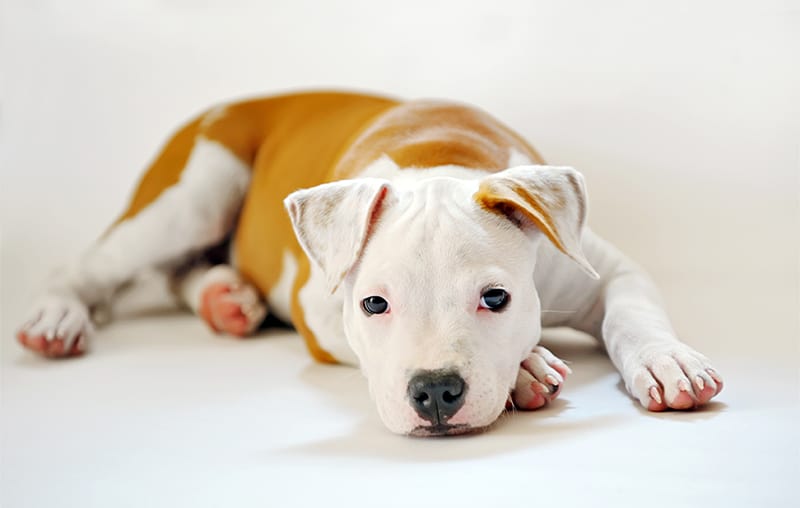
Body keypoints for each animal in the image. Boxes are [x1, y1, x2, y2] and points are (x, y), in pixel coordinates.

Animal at [15, 91, 720, 436]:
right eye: (373, 305)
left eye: (496, 298)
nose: (435, 392)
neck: (441, 164)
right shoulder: (319, 310)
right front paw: (526, 369)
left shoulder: (601, 267)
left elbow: (631, 313)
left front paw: (669, 362)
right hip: (196, 191)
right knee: (100, 264)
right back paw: (57, 318)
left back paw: (226, 299)